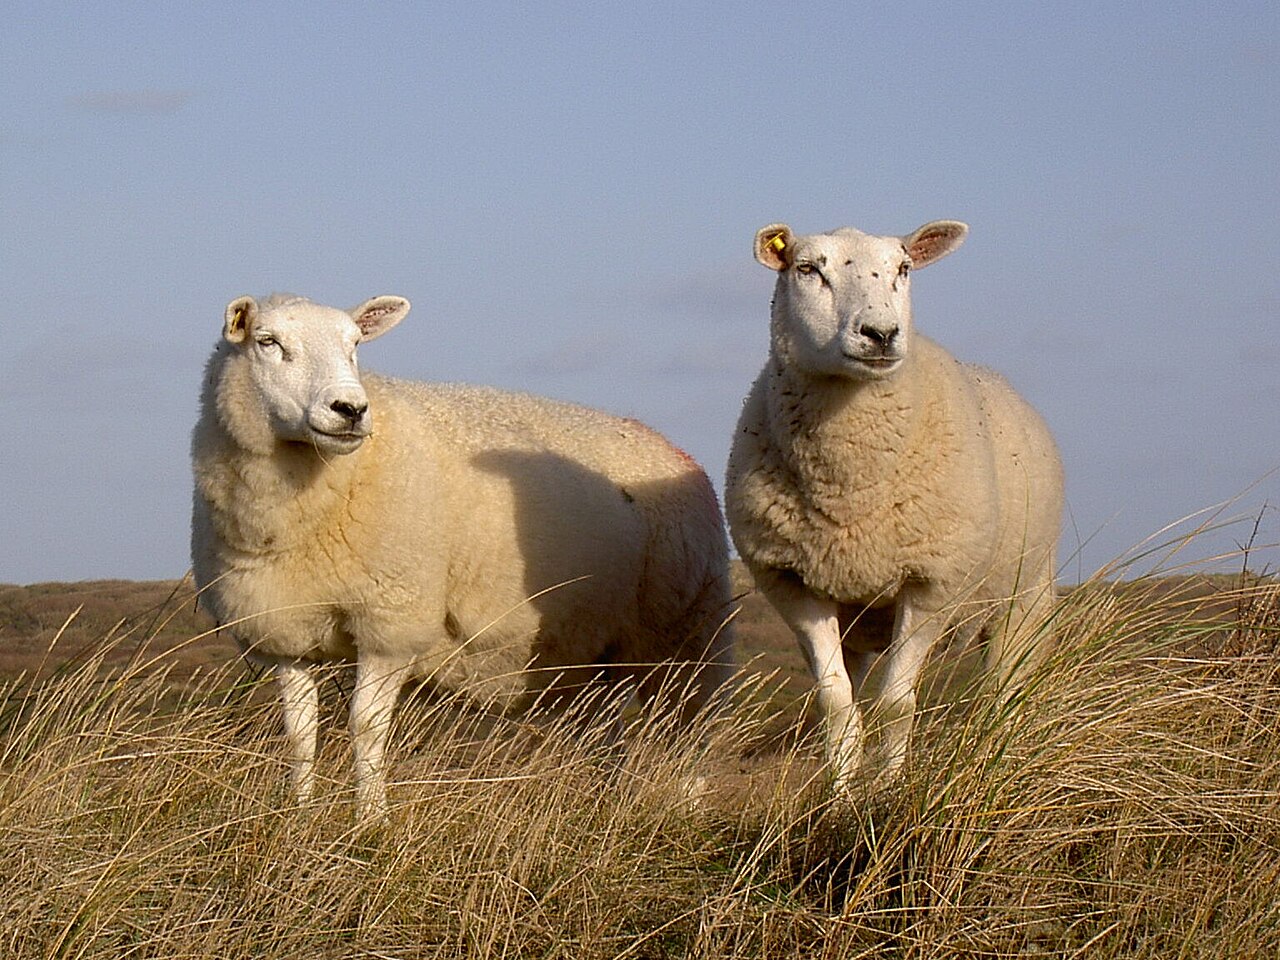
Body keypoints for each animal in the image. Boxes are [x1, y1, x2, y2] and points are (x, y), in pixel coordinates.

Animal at [191, 293, 735, 820]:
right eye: (267, 341)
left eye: (355, 346)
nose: (349, 409)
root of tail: (666, 445)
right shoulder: (284, 631)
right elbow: (300, 735)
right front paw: (298, 816)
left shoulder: (393, 620)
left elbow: (366, 728)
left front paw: (371, 821)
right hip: (594, 651)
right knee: (607, 733)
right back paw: (601, 805)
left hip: (685, 632)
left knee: (689, 728)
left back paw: (687, 812)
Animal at [724, 220, 1063, 791]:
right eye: (807, 268)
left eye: (904, 268)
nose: (880, 334)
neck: (850, 489)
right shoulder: (794, 584)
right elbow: (836, 703)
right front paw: (840, 795)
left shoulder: (931, 583)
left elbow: (896, 705)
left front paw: (887, 790)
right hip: (857, 623)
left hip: (1026, 593)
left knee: (1005, 686)